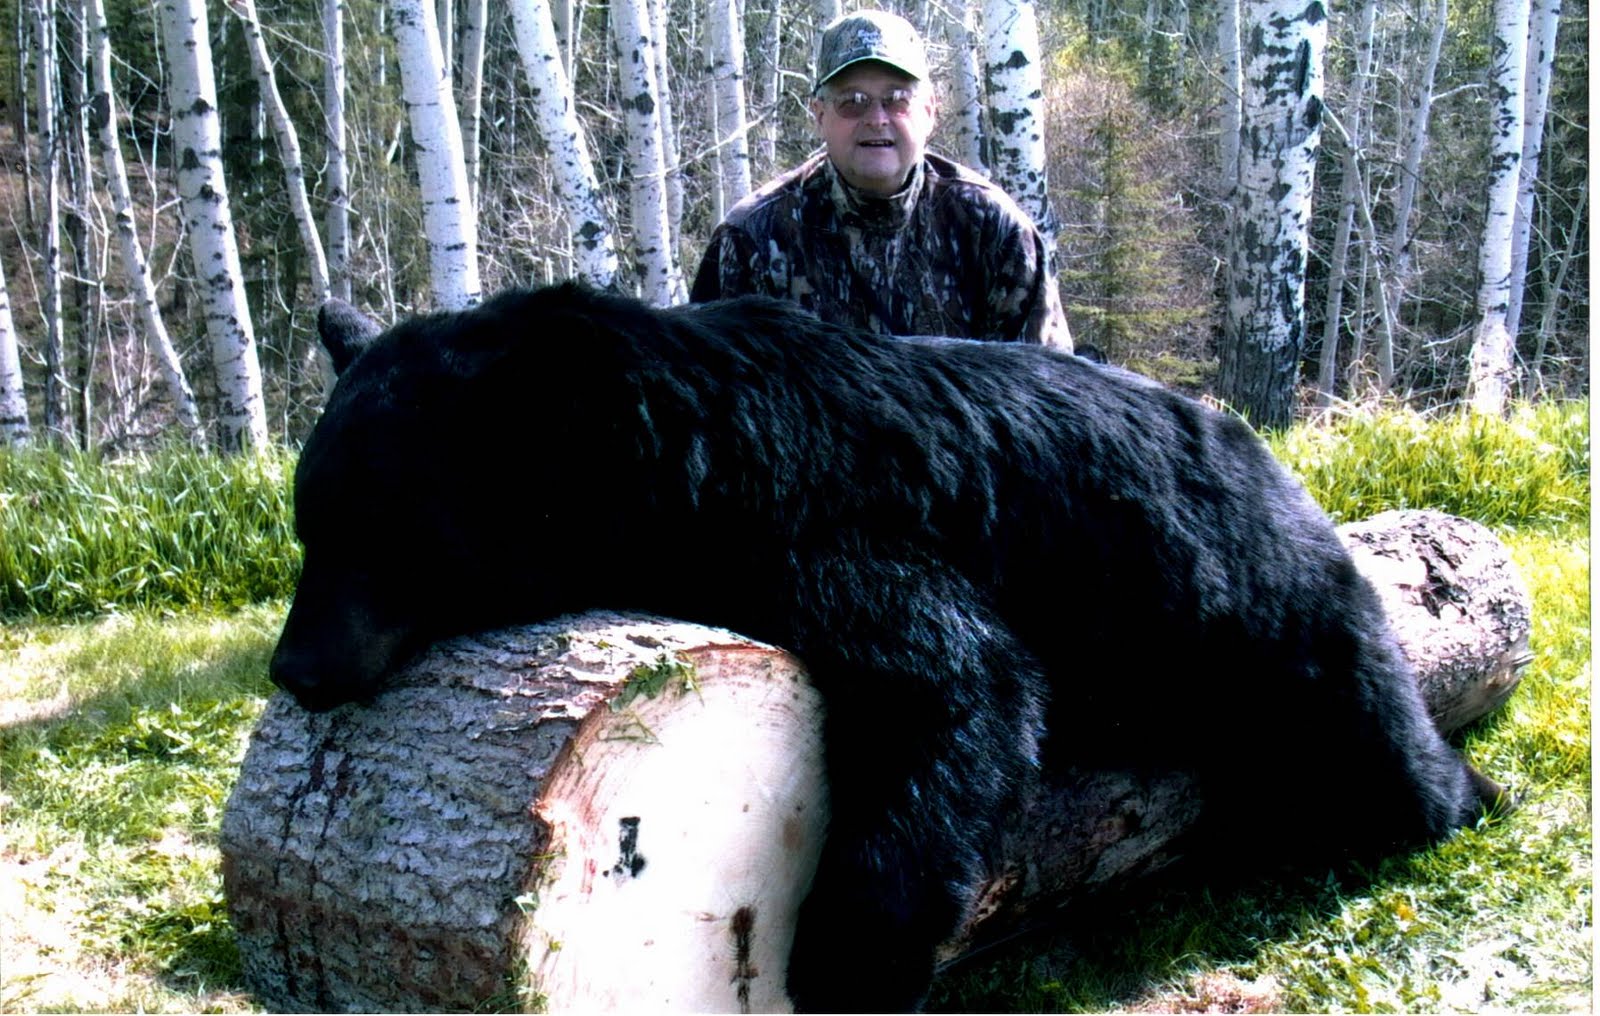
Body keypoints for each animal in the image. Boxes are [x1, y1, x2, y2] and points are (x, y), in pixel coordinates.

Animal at [270, 282, 1507, 1013]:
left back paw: (1470, 787)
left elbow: (958, 687)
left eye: (384, 532)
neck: (685, 467)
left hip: (1255, 604)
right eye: (305, 520)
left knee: (1374, 745)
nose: (298, 667)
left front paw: (842, 959)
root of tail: (1269, 453)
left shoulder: (829, 522)